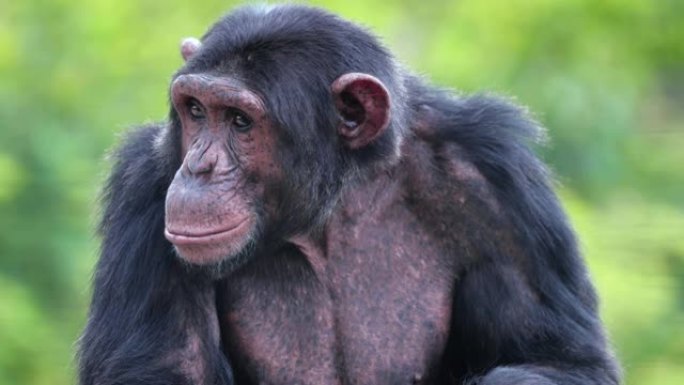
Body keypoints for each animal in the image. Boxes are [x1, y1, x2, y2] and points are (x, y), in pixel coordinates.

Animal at [77, 3, 624, 384]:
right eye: (194, 110)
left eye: (239, 121)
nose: (198, 167)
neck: (328, 211)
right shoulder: (145, 185)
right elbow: (160, 369)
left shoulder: (500, 188)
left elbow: (562, 360)